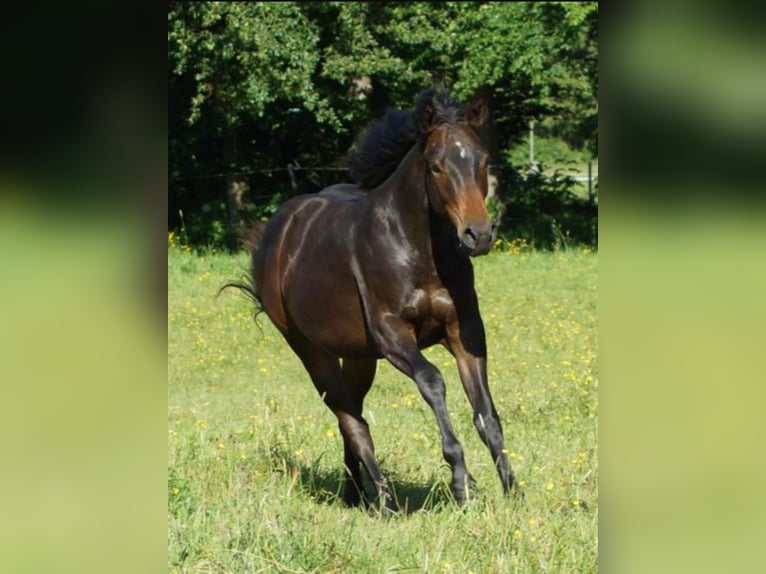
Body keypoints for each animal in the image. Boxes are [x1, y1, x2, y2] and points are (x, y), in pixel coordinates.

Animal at [224, 88, 519, 510]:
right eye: (435, 167)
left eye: (482, 161)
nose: (477, 235)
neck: (420, 250)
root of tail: (274, 234)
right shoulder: (392, 335)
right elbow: (432, 381)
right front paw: (460, 481)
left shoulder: (465, 332)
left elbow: (487, 416)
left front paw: (514, 493)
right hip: (311, 350)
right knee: (351, 420)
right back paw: (385, 501)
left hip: (358, 356)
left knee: (353, 412)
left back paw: (355, 494)